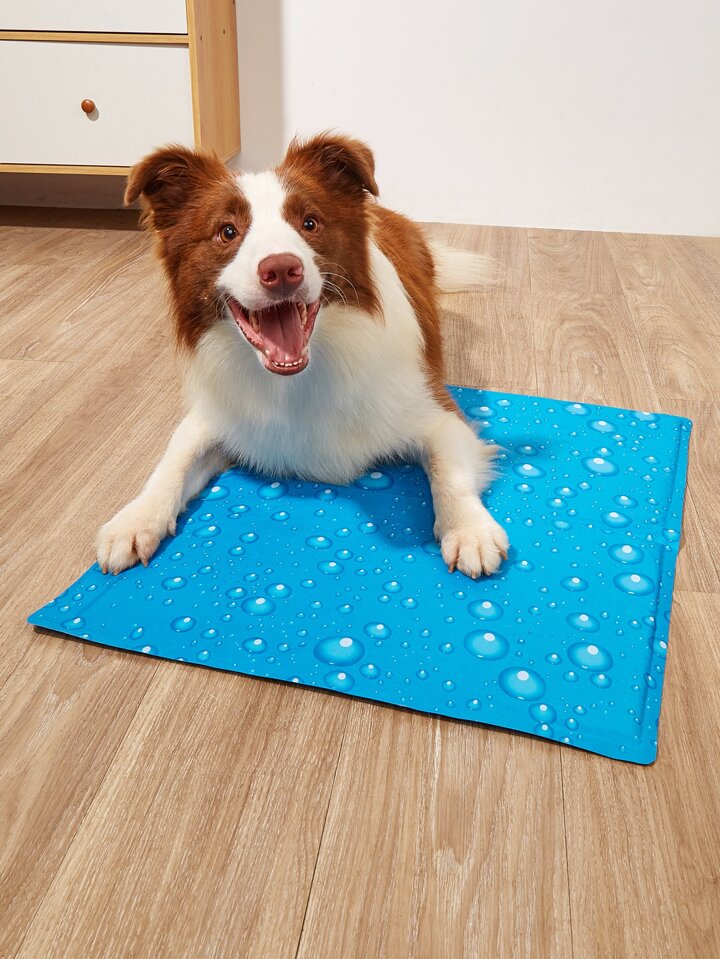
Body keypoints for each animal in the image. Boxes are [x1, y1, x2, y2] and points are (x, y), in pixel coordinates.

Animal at [97, 132, 509, 579]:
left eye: (309, 223)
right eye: (227, 231)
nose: (281, 270)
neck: (297, 378)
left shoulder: (435, 410)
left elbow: (448, 470)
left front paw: (469, 530)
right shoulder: (220, 415)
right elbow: (174, 459)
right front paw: (135, 519)